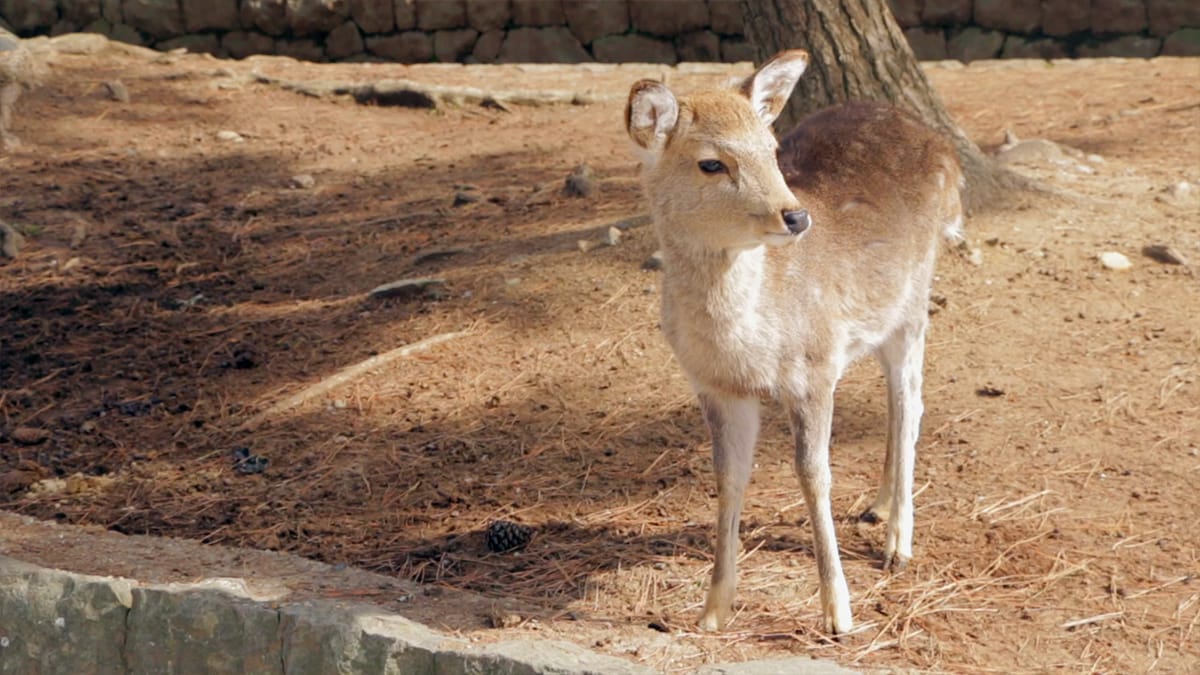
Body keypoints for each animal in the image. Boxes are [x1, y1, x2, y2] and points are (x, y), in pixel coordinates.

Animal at [624, 49, 960, 634]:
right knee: (896, 402)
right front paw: (713, 611)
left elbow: (813, 475)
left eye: (772, 148)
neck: (749, 341)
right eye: (711, 163)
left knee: (910, 401)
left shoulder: (814, 367)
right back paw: (877, 506)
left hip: (914, 298)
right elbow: (728, 476)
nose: (796, 215)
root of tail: (939, 144)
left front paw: (839, 613)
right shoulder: (715, 387)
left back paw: (898, 542)